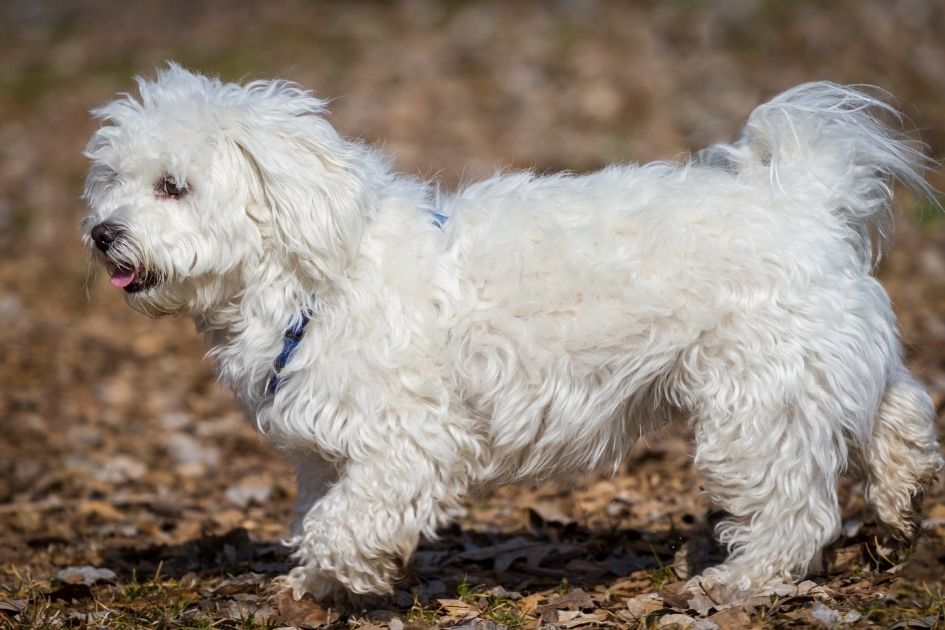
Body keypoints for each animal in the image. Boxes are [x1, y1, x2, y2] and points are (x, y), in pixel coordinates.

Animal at [83, 65, 944, 608]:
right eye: (113, 181)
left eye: (172, 186)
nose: (100, 233)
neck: (312, 274)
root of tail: (803, 197)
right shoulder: (323, 449)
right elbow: (317, 511)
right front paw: (310, 584)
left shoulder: (407, 441)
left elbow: (344, 520)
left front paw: (340, 573)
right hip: (823, 365)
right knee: (900, 411)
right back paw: (902, 506)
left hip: (756, 402)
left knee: (792, 507)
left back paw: (740, 582)